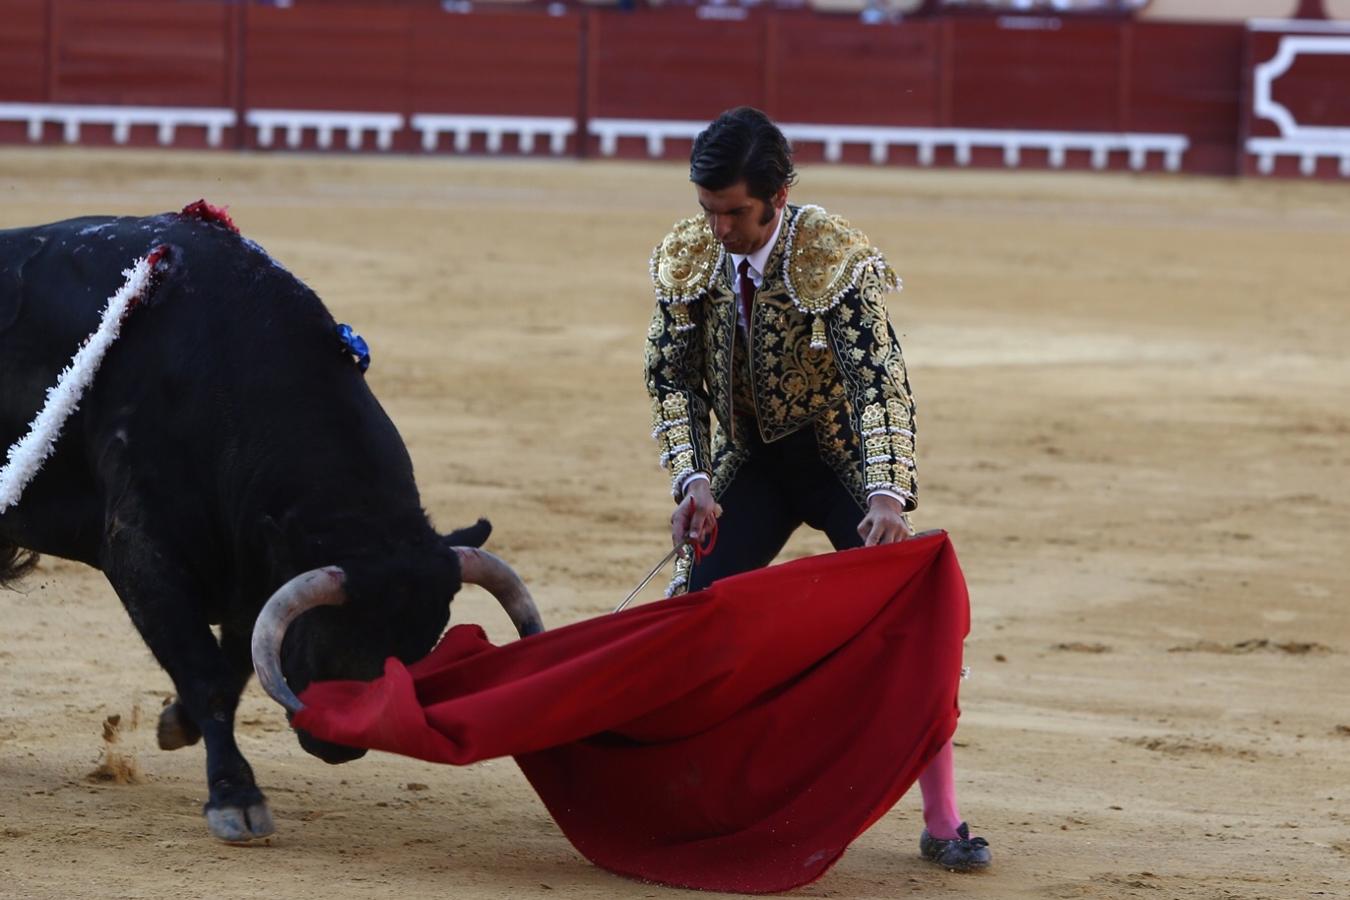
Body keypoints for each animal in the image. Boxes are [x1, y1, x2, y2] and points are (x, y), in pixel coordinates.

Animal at [6, 213, 542, 847]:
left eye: (422, 642)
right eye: (328, 630)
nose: (340, 745)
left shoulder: (253, 572)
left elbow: (235, 668)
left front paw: (176, 724)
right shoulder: (142, 552)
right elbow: (208, 673)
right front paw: (236, 799)